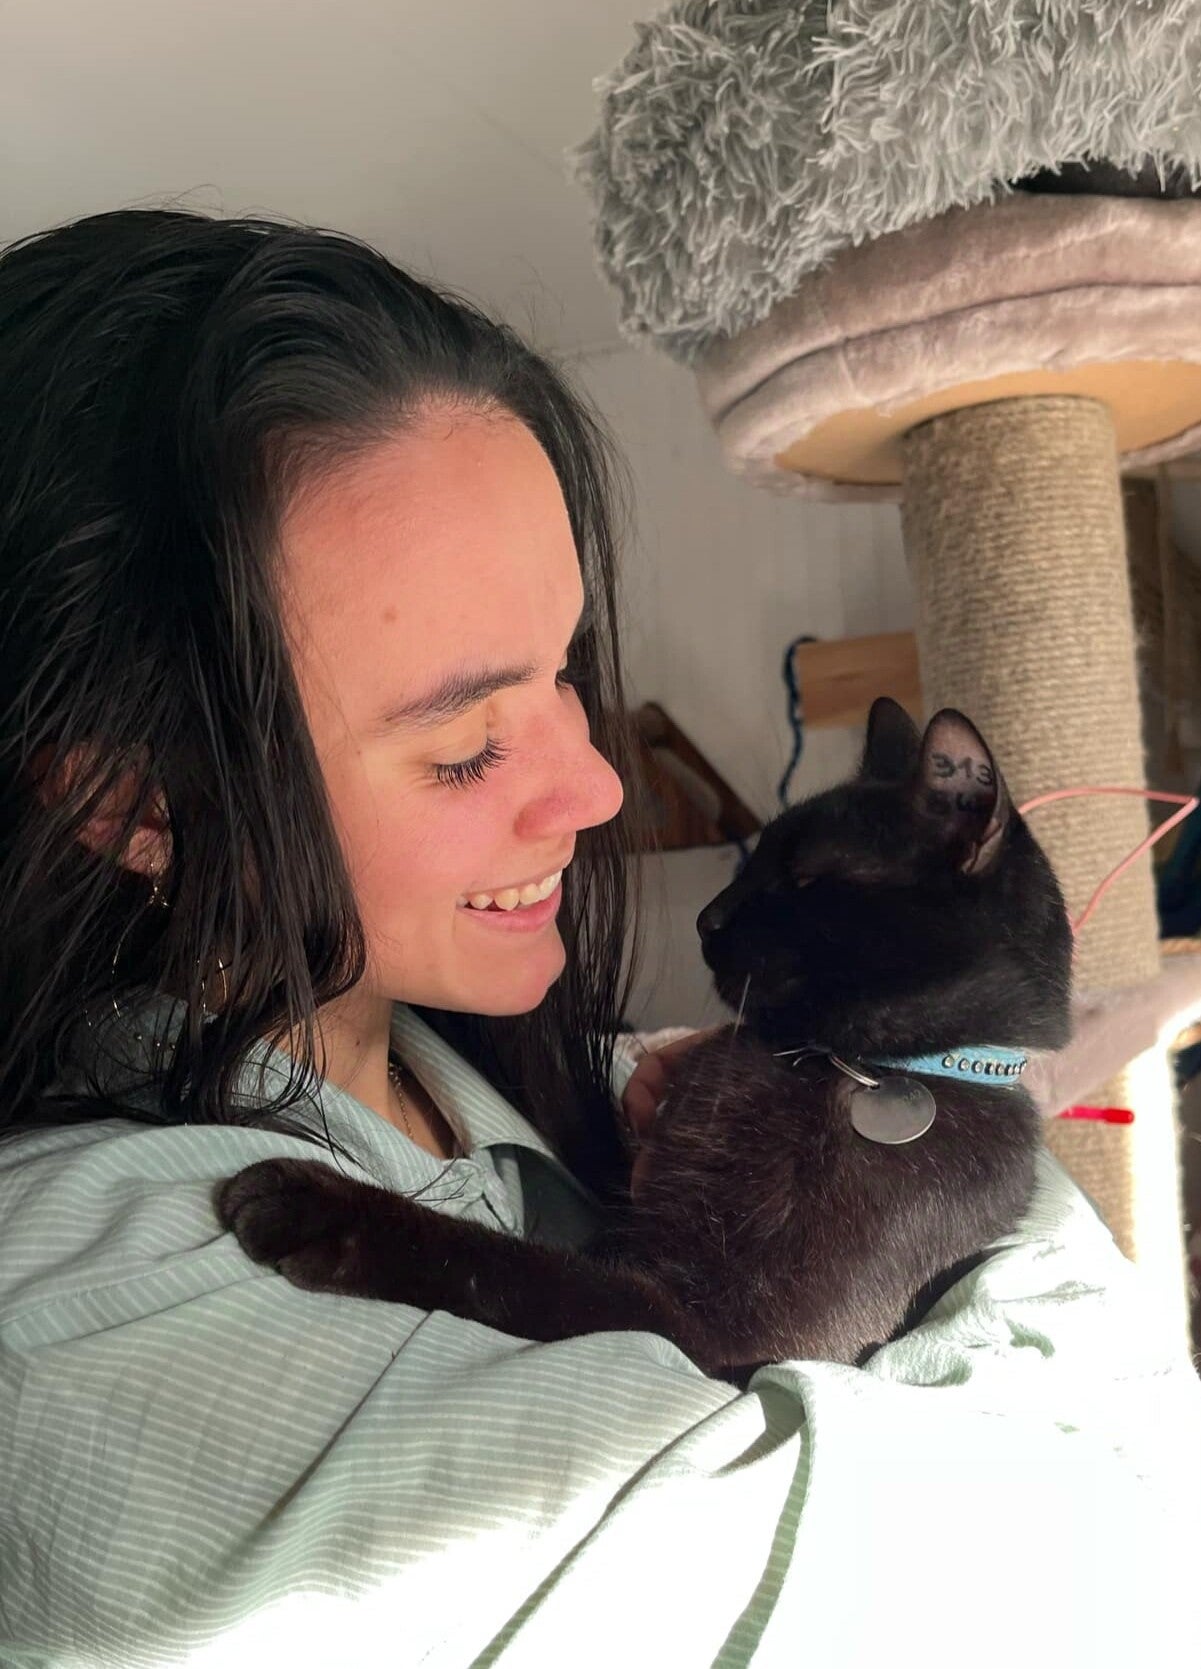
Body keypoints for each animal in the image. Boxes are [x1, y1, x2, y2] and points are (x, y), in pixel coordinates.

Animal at [216, 699, 1073, 1383]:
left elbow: (515, 1270)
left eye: (801, 878)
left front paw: (314, 1205)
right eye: (756, 859)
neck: (844, 1068)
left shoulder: (714, 1333)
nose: (707, 917)